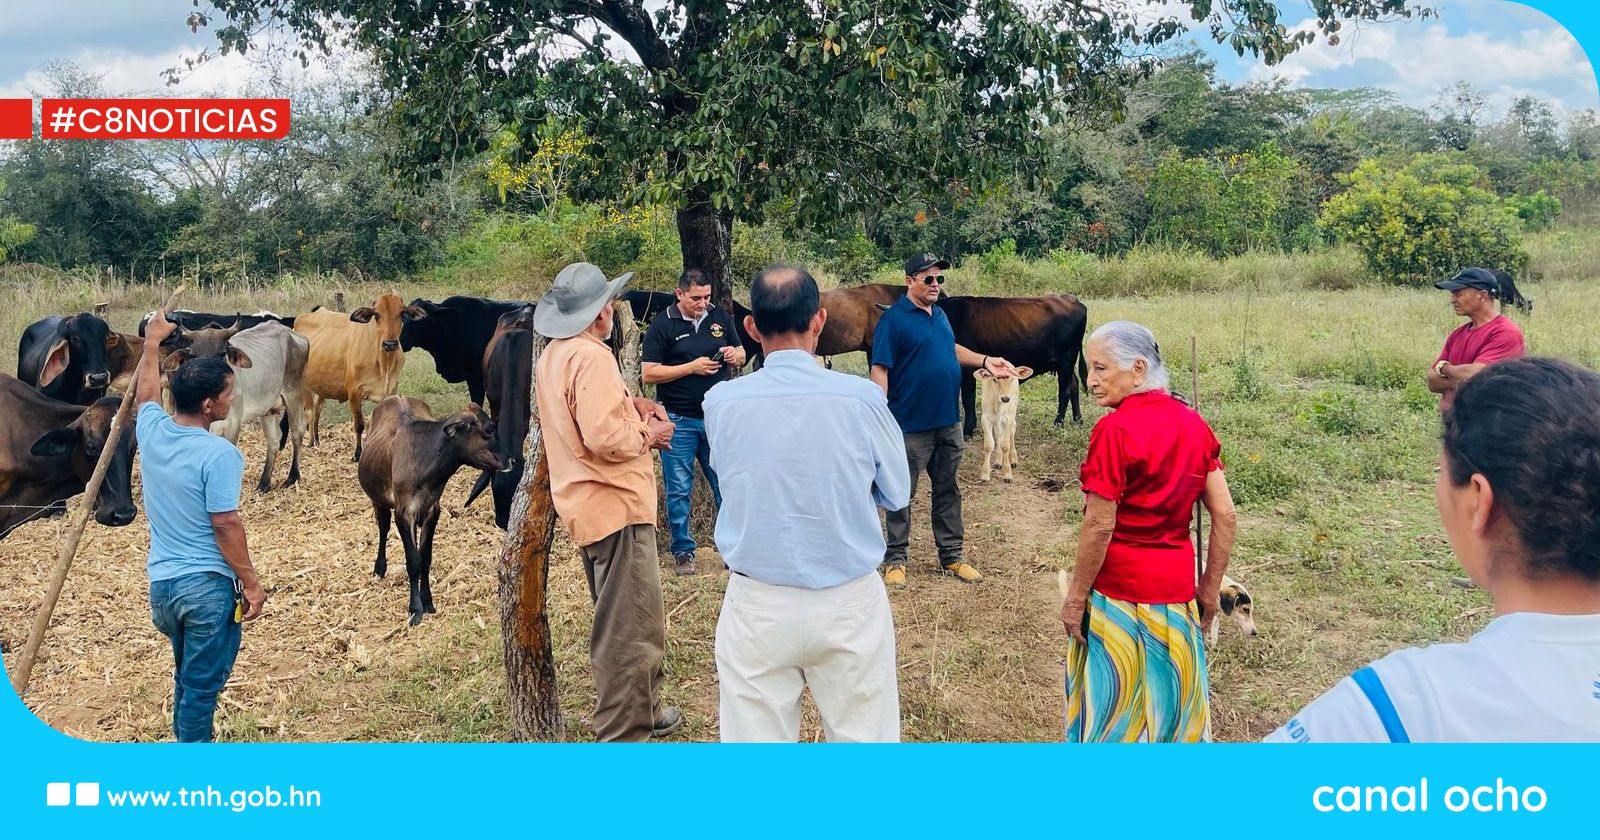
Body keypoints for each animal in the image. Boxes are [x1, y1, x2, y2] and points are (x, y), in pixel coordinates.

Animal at [294, 292, 419, 457]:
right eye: (376, 315)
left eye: (402, 313)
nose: (390, 344)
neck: (383, 363)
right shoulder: (353, 391)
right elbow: (359, 424)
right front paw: (358, 453)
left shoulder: (390, 390)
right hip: (304, 385)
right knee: (309, 411)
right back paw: (311, 442)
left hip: (322, 385)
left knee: (317, 408)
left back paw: (318, 439)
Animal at [361, 395, 499, 620]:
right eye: (488, 431)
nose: (511, 459)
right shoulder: (403, 513)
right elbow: (413, 561)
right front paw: (414, 609)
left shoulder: (432, 511)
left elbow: (424, 557)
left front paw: (427, 601)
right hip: (379, 500)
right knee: (383, 528)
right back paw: (379, 567)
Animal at [934, 292, 1094, 435]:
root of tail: (1071, 298)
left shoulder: (966, 368)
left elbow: (968, 398)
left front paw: (967, 430)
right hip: (1065, 364)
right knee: (1074, 385)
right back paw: (1078, 420)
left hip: (1066, 360)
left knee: (1065, 391)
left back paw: (1058, 423)